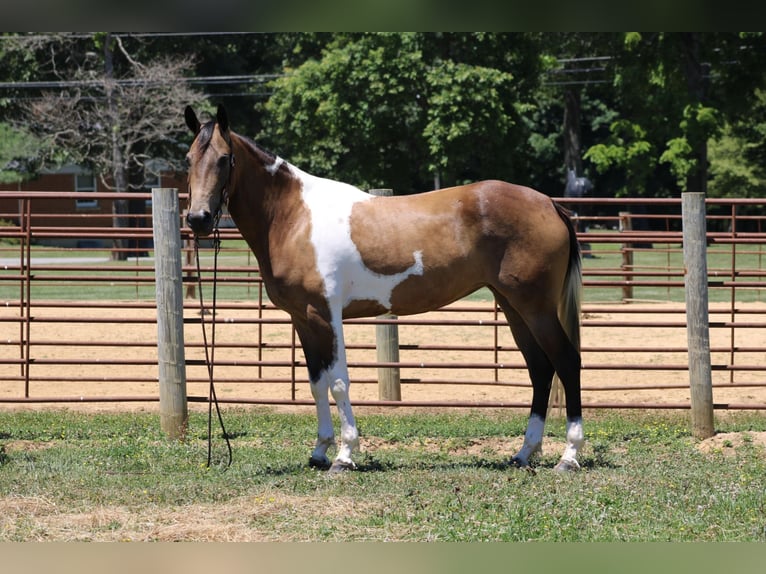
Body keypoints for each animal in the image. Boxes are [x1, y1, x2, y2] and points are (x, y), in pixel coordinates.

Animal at [186, 106, 588, 474]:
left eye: (223, 159)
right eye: (189, 159)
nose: (198, 219)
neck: (294, 218)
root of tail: (550, 205)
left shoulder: (326, 315)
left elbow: (339, 383)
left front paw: (344, 456)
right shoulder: (303, 319)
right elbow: (316, 383)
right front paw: (319, 452)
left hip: (535, 308)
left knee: (566, 361)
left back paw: (568, 457)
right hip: (512, 306)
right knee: (540, 369)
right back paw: (524, 453)